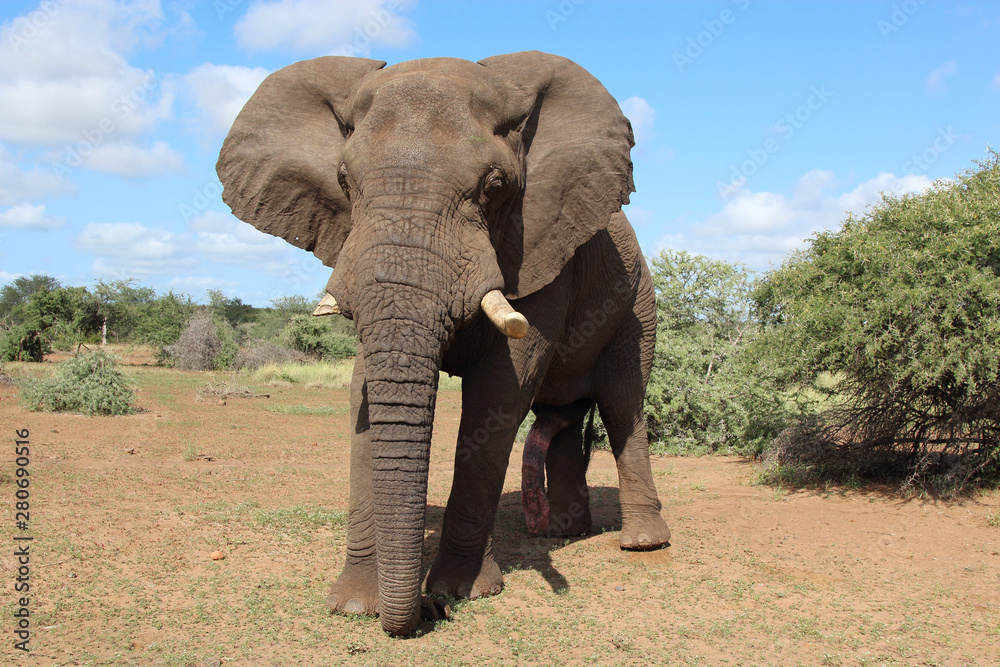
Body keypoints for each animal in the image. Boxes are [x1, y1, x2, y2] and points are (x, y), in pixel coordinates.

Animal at [217, 50, 670, 636]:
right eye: (343, 180)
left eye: (495, 186)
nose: (429, 612)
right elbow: (364, 395)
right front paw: (357, 605)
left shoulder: (538, 247)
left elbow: (499, 396)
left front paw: (462, 590)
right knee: (565, 414)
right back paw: (562, 534)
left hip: (638, 301)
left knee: (621, 402)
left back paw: (642, 543)